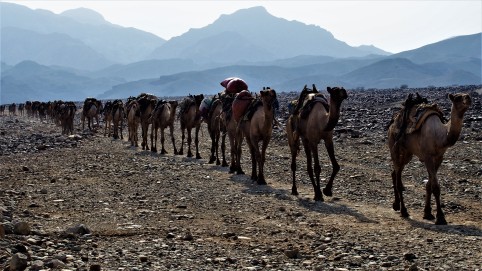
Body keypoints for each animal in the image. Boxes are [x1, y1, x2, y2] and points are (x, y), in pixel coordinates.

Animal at [388, 93, 470, 225]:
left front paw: (427, 213)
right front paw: (440, 217)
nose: (468, 98)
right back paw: (404, 211)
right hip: (395, 149)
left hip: (407, 154)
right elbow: (435, 187)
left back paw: (396, 205)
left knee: (394, 172)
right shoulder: (428, 157)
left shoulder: (439, 158)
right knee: (398, 178)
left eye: (467, 95)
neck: (440, 136)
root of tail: (392, 124)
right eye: (457, 98)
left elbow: (429, 185)